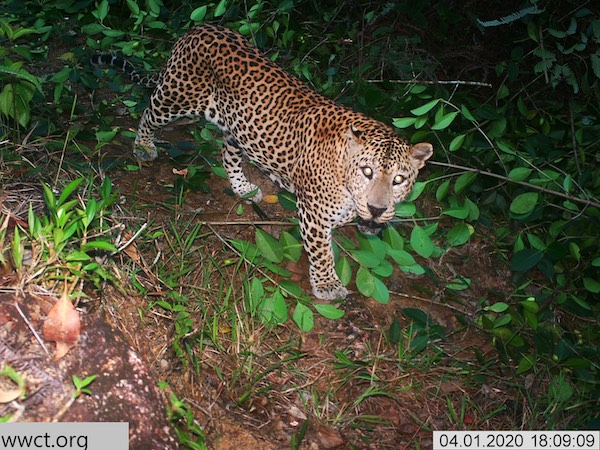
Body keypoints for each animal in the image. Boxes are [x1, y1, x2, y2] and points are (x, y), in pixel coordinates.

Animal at [92, 22, 432, 300]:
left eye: (399, 180)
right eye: (367, 171)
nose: (377, 208)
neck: (343, 173)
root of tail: (197, 28)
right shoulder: (313, 213)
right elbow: (321, 251)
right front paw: (327, 285)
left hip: (235, 127)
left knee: (229, 155)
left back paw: (243, 188)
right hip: (177, 97)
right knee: (149, 111)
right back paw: (143, 145)